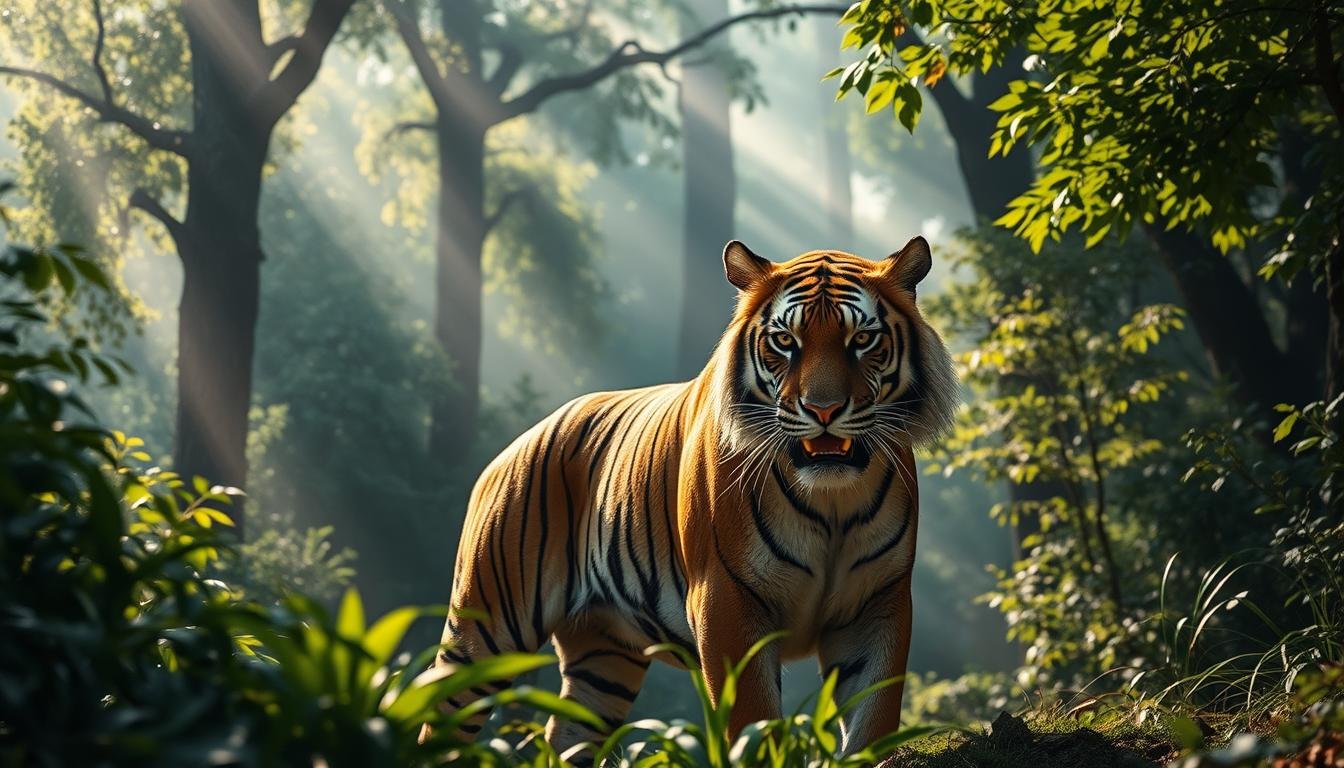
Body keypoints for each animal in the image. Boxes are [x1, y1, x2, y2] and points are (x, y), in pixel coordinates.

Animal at [423, 237, 958, 763]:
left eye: (862, 340)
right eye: (785, 341)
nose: (823, 410)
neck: (833, 504)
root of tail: (510, 450)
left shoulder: (878, 604)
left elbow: (874, 719)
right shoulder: (726, 601)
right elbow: (752, 724)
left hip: (604, 654)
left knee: (566, 733)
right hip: (487, 627)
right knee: (439, 711)